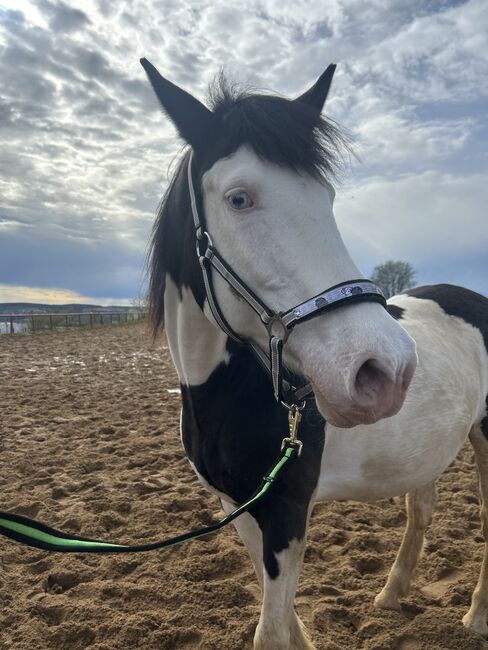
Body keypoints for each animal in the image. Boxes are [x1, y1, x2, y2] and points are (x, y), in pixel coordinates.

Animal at [140, 58, 488, 644]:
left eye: (325, 198)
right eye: (239, 198)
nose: (386, 370)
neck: (226, 393)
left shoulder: (286, 511)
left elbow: (271, 631)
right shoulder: (241, 507)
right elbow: (282, 618)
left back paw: (478, 614)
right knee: (422, 507)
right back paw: (391, 596)